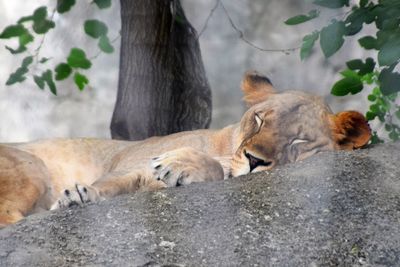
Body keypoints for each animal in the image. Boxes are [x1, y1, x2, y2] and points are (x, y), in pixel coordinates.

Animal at [0, 72, 370, 227]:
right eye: (259, 119)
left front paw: (181, 167)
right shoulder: (131, 164)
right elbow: (111, 182)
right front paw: (76, 197)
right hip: (30, 167)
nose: (254, 160)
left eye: (298, 142)